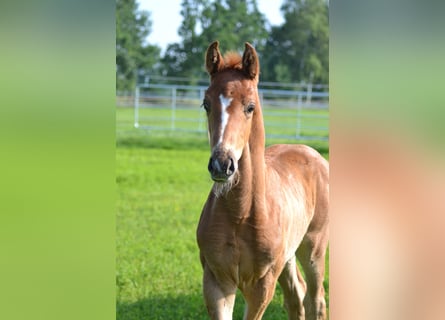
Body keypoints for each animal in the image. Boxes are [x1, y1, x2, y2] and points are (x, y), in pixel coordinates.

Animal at [196, 41, 328, 318]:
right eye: (206, 104)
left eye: (250, 107)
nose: (222, 164)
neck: (241, 213)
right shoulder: (216, 280)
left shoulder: (261, 284)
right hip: (288, 257)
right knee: (296, 297)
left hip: (314, 249)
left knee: (315, 299)